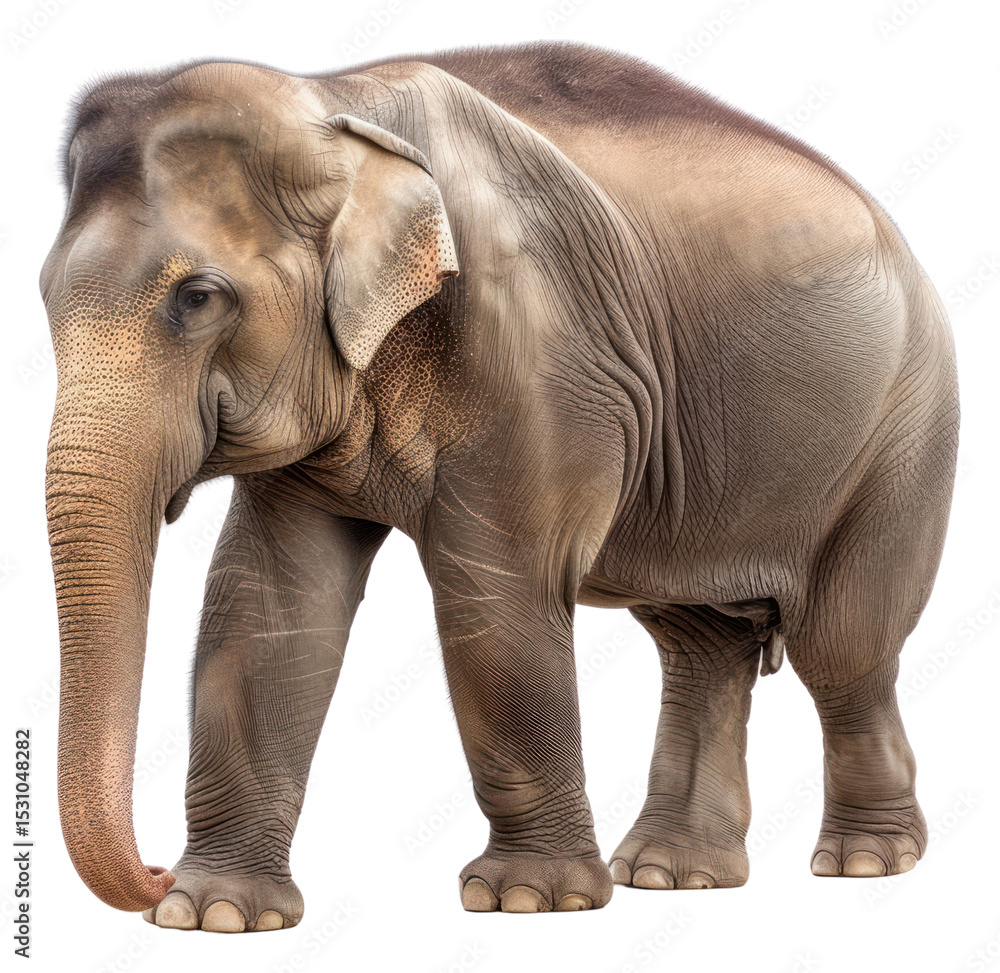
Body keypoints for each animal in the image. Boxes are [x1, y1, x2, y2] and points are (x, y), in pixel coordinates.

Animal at [41, 41, 959, 930]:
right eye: (44, 297)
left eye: (198, 298)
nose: (154, 875)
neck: (336, 100)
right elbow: (269, 602)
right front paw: (215, 913)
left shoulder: (540, 348)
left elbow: (496, 590)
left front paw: (529, 899)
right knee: (703, 646)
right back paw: (670, 873)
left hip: (906, 435)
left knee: (844, 646)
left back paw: (863, 861)